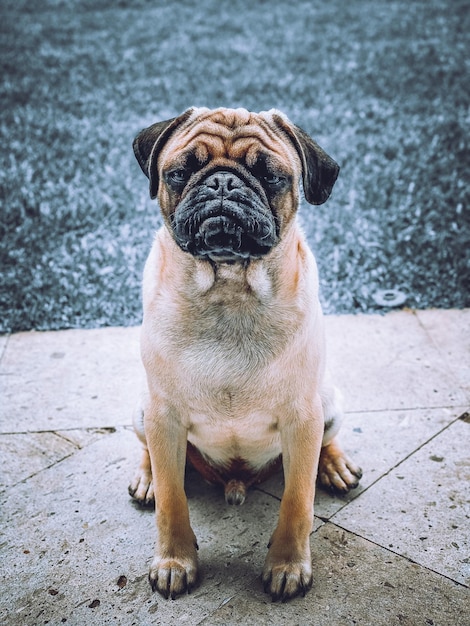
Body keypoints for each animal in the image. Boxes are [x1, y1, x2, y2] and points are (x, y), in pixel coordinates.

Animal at [129, 107, 364, 600]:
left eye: (271, 176)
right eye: (178, 173)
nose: (222, 183)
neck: (229, 294)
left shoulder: (303, 419)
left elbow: (297, 501)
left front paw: (287, 565)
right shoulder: (164, 416)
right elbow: (173, 503)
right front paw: (174, 561)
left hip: (329, 404)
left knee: (325, 444)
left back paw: (334, 467)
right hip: (143, 410)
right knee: (154, 459)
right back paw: (147, 479)